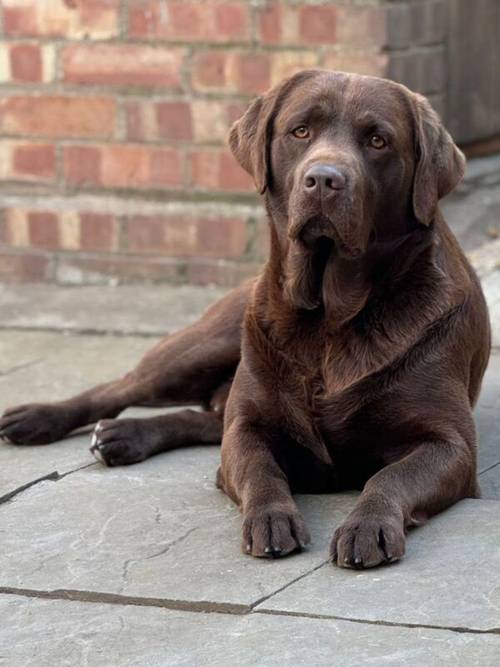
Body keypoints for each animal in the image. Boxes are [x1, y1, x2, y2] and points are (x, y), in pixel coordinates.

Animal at [0, 72, 490, 568]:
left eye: (378, 141)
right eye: (300, 131)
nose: (323, 179)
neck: (330, 318)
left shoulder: (450, 445)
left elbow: (388, 477)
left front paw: (367, 525)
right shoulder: (250, 428)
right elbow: (259, 469)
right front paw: (271, 519)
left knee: (208, 416)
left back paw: (124, 435)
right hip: (206, 346)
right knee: (124, 389)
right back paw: (40, 417)